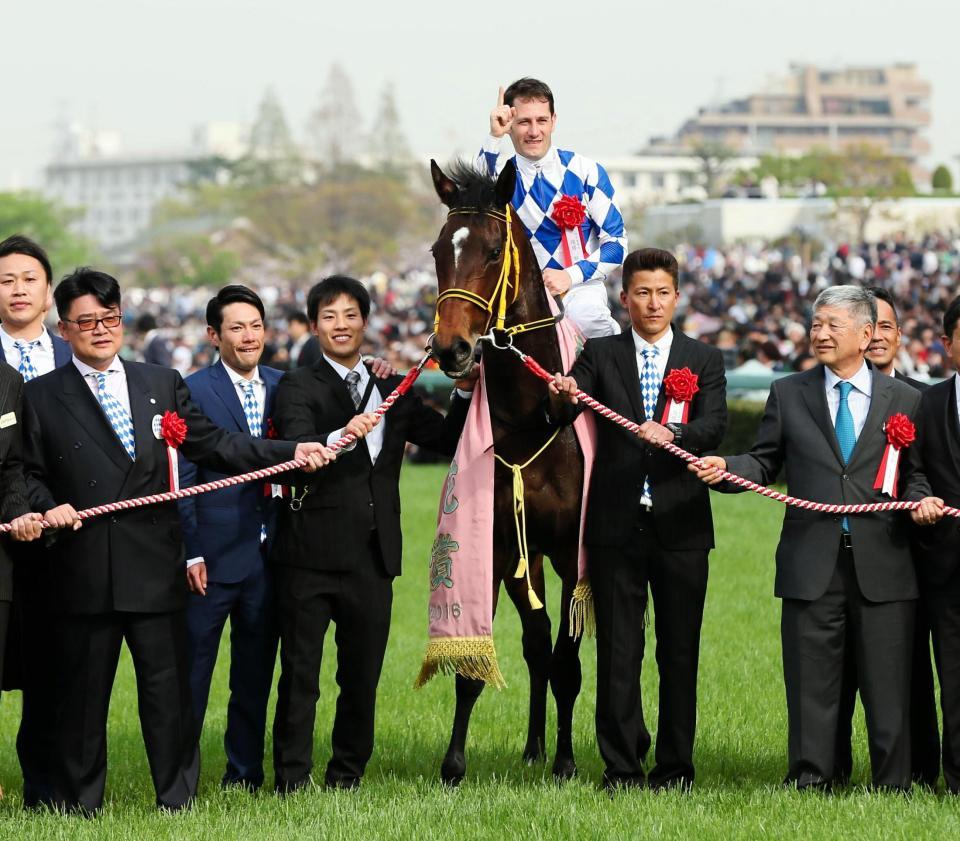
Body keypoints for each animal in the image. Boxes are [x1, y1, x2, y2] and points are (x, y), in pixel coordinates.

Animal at [428, 161, 584, 784]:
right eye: (438, 250)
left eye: (494, 251)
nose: (451, 349)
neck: (530, 418)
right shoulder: (494, 547)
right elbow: (475, 667)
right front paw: (453, 765)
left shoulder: (571, 550)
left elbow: (570, 661)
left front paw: (567, 762)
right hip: (524, 556)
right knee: (535, 642)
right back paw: (533, 746)